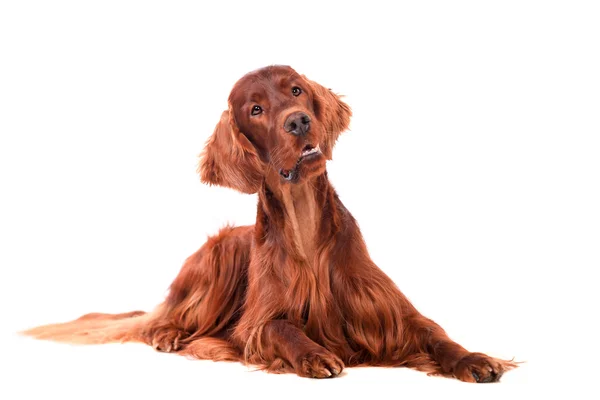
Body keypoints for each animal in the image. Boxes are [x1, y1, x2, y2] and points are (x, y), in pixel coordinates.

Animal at [23, 65, 516, 384]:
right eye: (256, 110)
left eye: (296, 90)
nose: (298, 121)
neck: (305, 226)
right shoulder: (258, 324)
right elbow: (283, 328)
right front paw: (316, 354)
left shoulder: (390, 313)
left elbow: (435, 334)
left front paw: (474, 358)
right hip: (218, 254)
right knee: (160, 319)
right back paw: (168, 333)